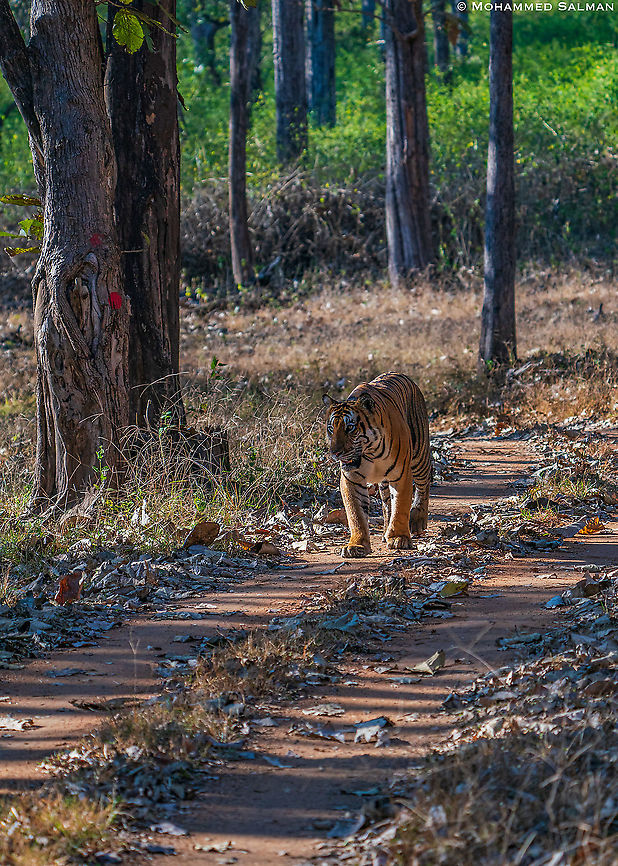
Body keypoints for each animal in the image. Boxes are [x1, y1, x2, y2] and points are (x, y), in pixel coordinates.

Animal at [322, 372, 432, 558]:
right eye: (331, 428)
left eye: (350, 428)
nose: (335, 452)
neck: (370, 453)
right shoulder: (351, 480)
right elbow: (356, 514)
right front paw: (356, 545)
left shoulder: (402, 475)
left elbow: (400, 506)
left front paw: (399, 538)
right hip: (385, 483)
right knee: (387, 505)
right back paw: (385, 532)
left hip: (419, 456)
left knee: (424, 485)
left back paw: (417, 520)